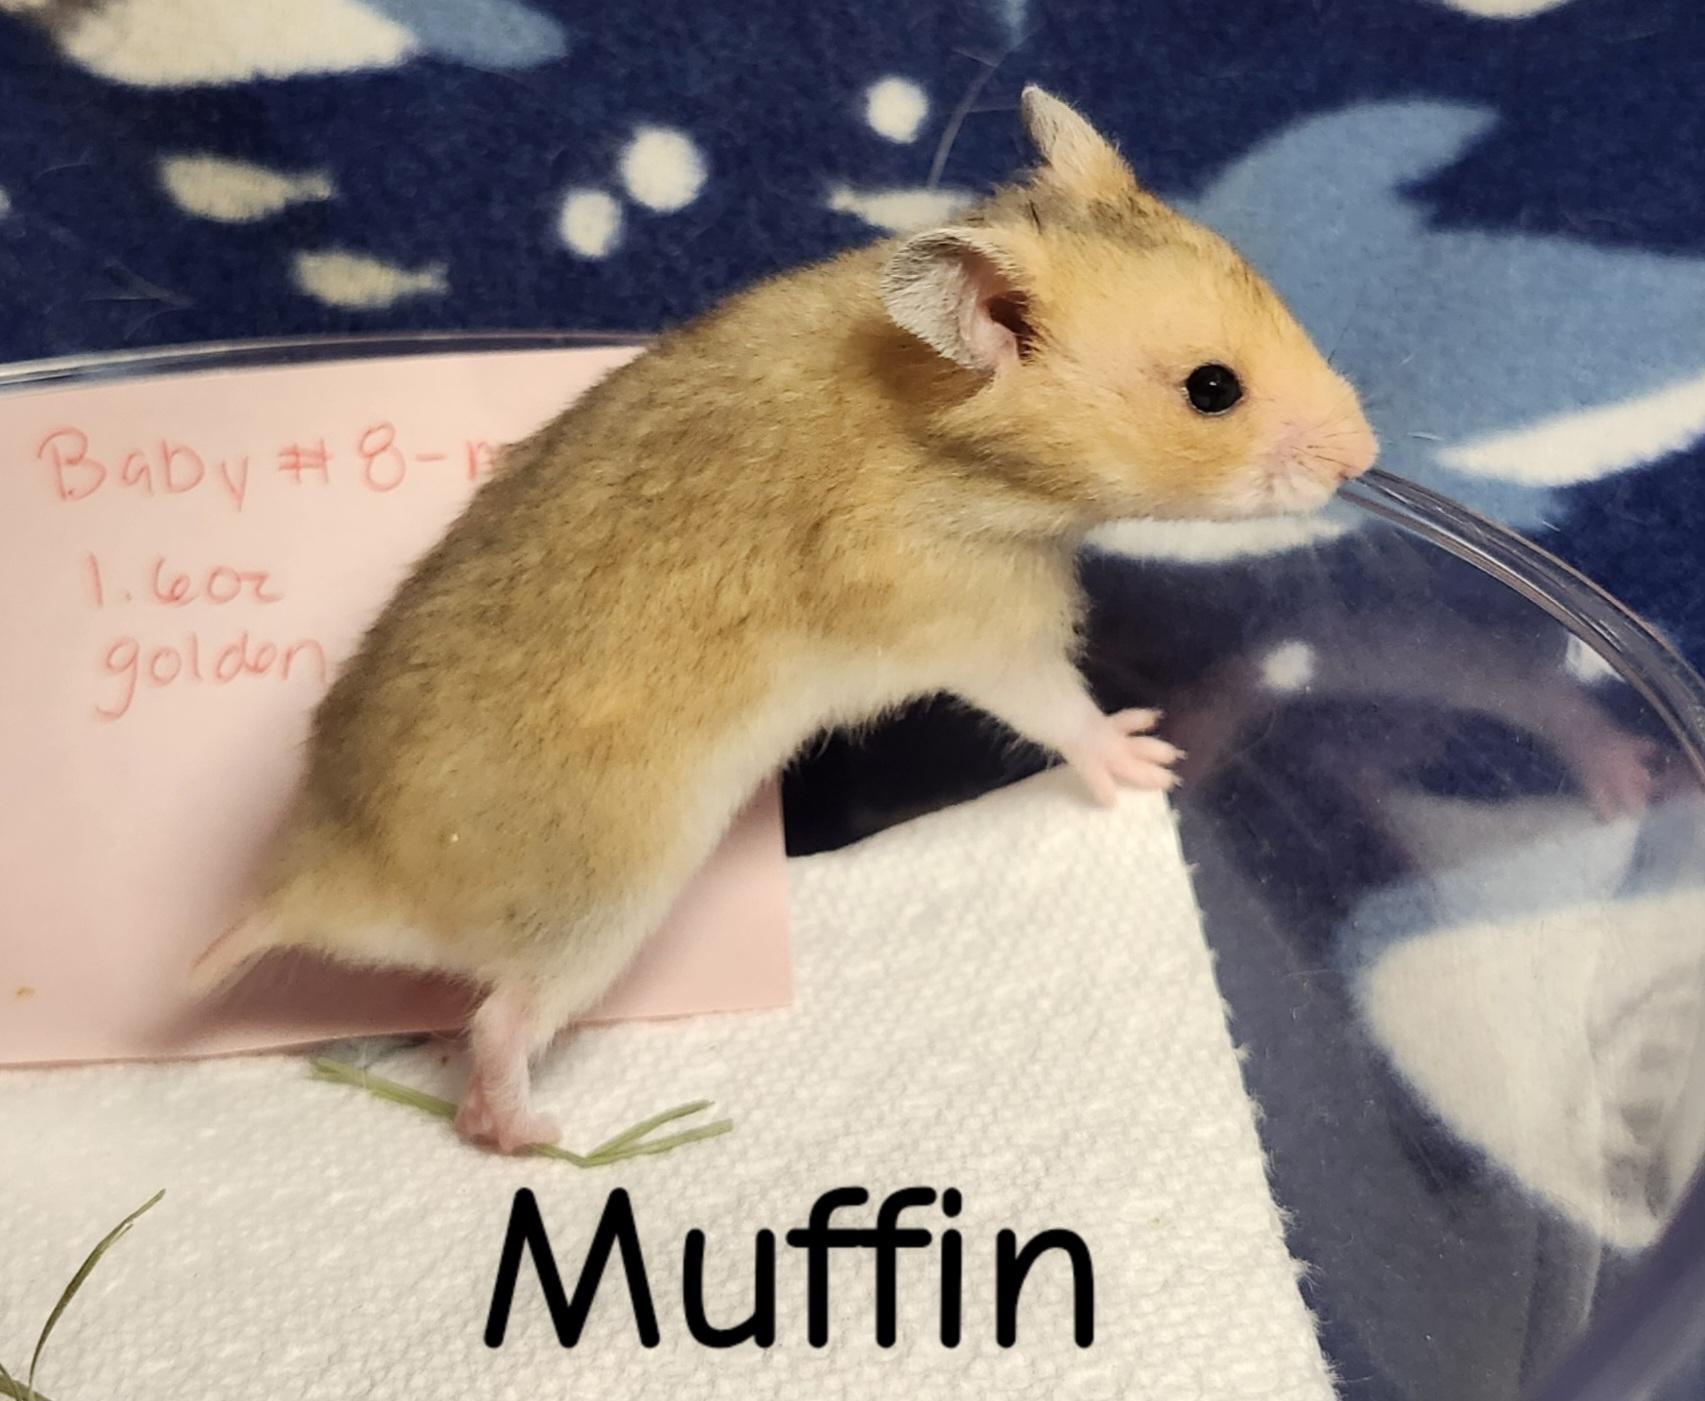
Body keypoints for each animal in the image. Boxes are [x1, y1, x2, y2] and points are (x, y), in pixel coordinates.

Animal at [190, 86, 1378, 1153]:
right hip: (596, 911)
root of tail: (311, 884)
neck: (940, 422)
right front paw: (1149, 757)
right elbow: (1059, 710)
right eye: (1211, 389)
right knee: (498, 1033)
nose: (1366, 459)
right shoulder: (977, 625)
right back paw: (538, 1130)